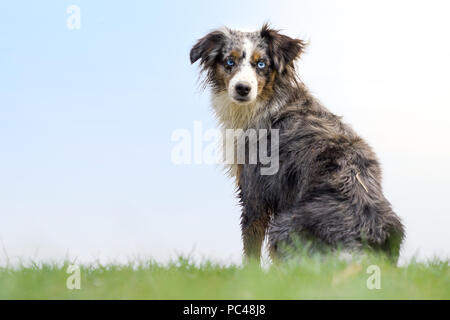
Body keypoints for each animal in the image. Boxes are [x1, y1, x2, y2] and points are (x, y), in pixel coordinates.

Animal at [190, 24, 404, 262]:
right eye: (229, 61)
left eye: (261, 64)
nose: (242, 88)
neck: (267, 103)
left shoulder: (254, 190)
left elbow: (251, 247)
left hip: (283, 225)